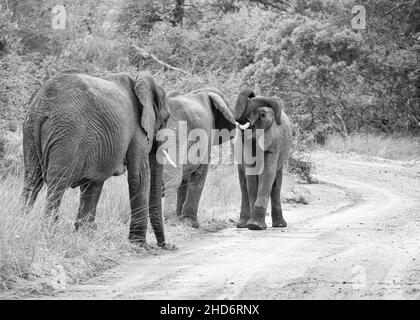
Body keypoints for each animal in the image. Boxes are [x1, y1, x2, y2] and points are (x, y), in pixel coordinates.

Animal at [22, 71, 176, 249]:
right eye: (166, 118)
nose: (166, 245)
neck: (138, 82)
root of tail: (42, 105)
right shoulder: (137, 130)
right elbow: (138, 177)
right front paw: (140, 245)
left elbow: (93, 183)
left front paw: (84, 235)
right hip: (68, 132)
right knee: (57, 184)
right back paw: (48, 235)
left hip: (30, 129)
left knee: (32, 180)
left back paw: (23, 224)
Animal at [233, 88, 292, 230]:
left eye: (263, 115)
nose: (252, 94)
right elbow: (251, 176)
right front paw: (253, 225)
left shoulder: (274, 141)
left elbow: (268, 173)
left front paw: (255, 225)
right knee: (243, 185)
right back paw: (242, 225)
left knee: (276, 185)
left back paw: (280, 225)